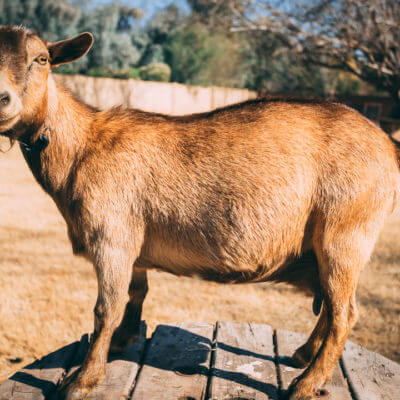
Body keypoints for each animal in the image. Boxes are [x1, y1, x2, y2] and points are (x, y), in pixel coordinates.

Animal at [0, 26, 400, 398]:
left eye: (42, 59)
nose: (2, 99)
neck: (83, 147)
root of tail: (388, 145)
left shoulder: (111, 238)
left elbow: (105, 309)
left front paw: (83, 380)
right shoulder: (135, 243)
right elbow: (136, 292)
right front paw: (124, 339)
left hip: (345, 233)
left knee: (345, 313)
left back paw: (306, 383)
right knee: (332, 306)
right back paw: (302, 354)